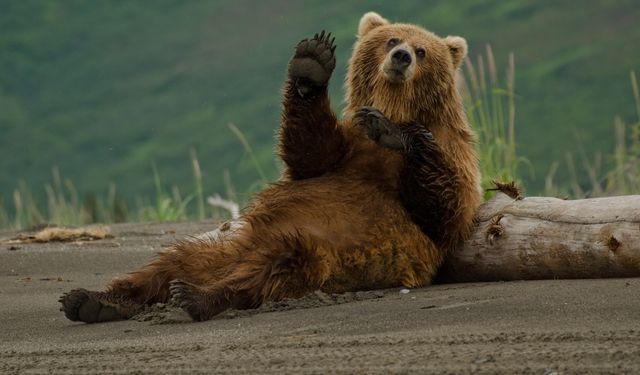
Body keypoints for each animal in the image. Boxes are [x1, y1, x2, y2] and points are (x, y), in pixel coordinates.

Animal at [60, 11, 480, 324]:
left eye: (422, 50)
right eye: (392, 40)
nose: (402, 57)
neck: (397, 105)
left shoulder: (452, 155)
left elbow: (444, 209)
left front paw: (395, 132)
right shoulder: (345, 151)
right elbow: (310, 151)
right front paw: (312, 64)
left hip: (318, 251)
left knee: (274, 267)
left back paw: (196, 296)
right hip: (220, 247)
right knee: (166, 263)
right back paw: (92, 299)